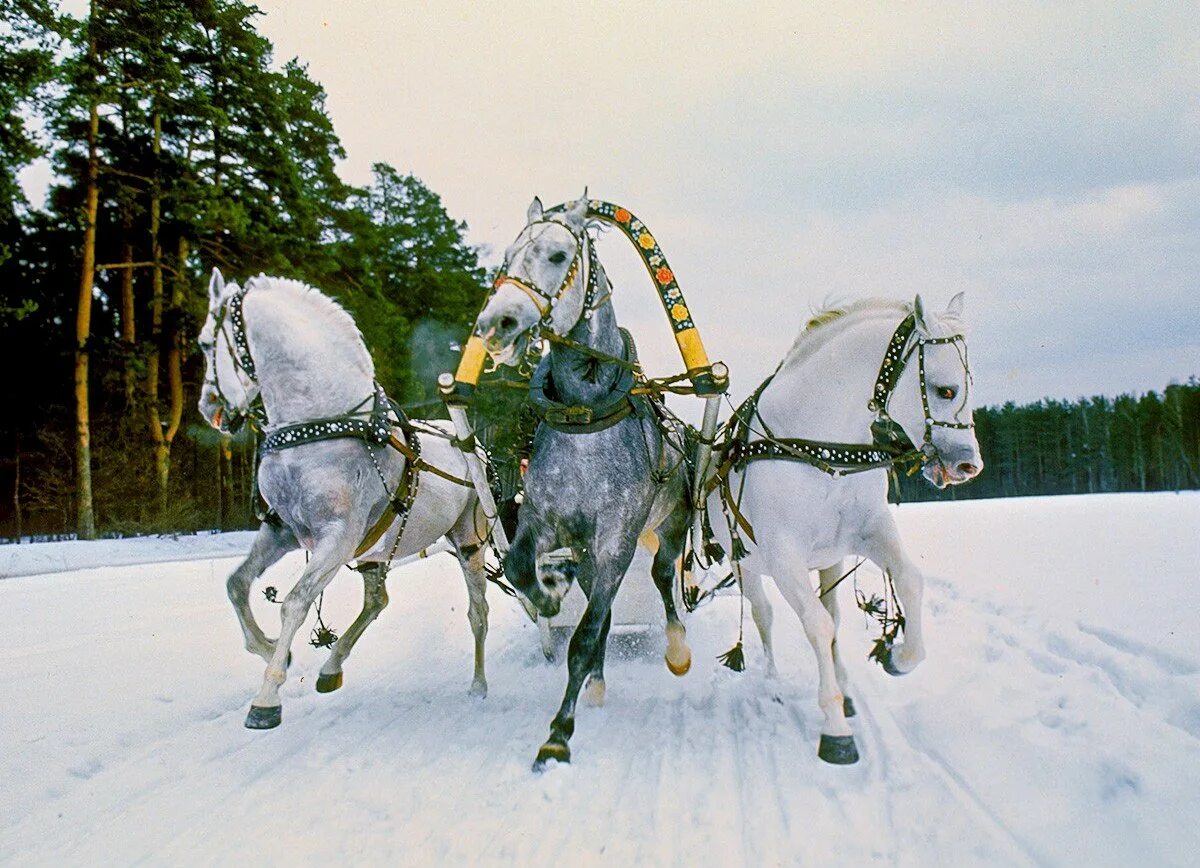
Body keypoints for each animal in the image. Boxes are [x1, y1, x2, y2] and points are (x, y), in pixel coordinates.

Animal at [196, 267, 492, 729]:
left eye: (206, 344)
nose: (208, 408)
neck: (322, 426)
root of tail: (470, 444)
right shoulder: (282, 529)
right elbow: (236, 583)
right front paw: (268, 649)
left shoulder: (338, 536)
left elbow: (294, 603)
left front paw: (267, 697)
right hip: (379, 549)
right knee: (377, 601)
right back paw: (331, 666)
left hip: (468, 540)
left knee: (478, 612)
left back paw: (478, 684)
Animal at [470, 195, 696, 768]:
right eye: (507, 258)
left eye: (556, 254)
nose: (495, 322)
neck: (585, 414)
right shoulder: (545, 521)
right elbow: (522, 568)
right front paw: (549, 596)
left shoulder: (616, 537)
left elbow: (588, 631)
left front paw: (558, 733)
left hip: (671, 523)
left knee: (663, 575)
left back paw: (676, 647)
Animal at [705, 295, 979, 763]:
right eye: (946, 389)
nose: (968, 465)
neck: (820, 448)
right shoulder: (784, 556)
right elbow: (815, 625)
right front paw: (834, 728)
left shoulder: (868, 531)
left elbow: (908, 580)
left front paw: (899, 657)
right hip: (747, 567)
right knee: (764, 615)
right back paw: (774, 683)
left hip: (829, 560)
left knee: (832, 612)